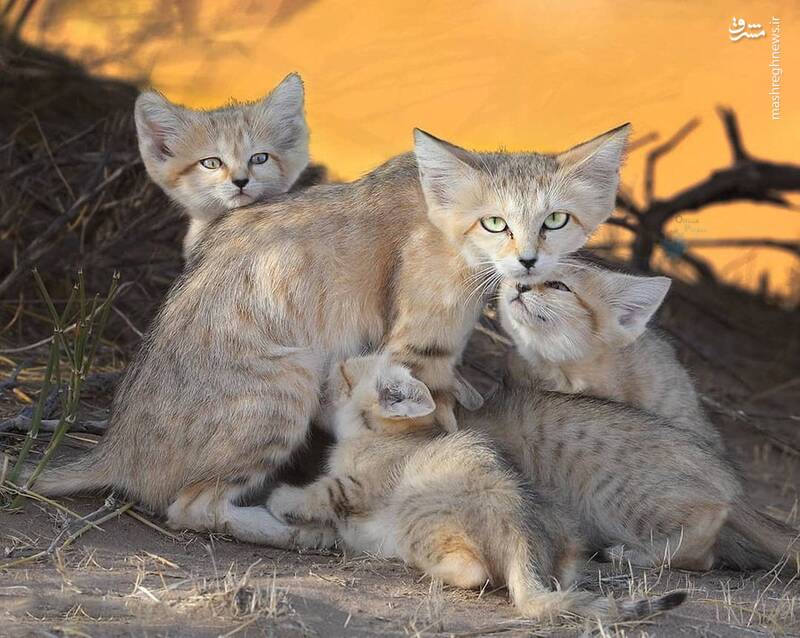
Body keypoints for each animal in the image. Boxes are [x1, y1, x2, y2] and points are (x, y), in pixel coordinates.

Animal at [26, 126, 632, 552]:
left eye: (556, 220)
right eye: (494, 223)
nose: (528, 261)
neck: (443, 216)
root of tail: (116, 445)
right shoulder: (416, 345)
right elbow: (422, 421)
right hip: (287, 383)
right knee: (190, 508)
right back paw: (296, 530)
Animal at [268, 352, 688, 624]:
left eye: (342, 373)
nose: (324, 374)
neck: (377, 436)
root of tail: (523, 536)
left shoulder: (356, 486)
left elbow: (320, 492)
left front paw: (280, 497)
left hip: (416, 514)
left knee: (474, 572)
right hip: (565, 530)